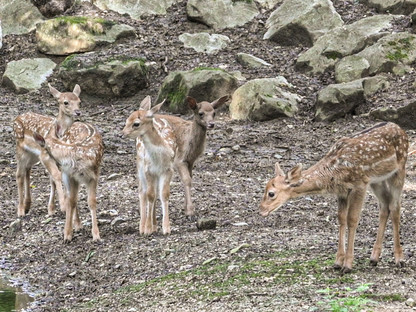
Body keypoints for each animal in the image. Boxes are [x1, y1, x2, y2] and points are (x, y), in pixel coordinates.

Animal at [13, 83, 81, 217]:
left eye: (79, 101)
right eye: (65, 102)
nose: (78, 112)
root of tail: (16, 118)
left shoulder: (58, 158)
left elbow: (53, 179)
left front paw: (52, 208)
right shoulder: (45, 155)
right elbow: (56, 176)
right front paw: (63, 206)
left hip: (33, 155)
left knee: (27, 170)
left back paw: (27, 205)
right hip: (21, 148)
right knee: (19, 175)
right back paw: (21, 210)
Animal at [122, 96, 176, 235]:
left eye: (136, 123)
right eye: (126, 120)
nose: (122, 133)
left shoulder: (168, 170)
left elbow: (164, 194)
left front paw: (166, 228)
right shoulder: (148, 170)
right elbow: (149, 195)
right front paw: (147, 229)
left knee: (155, 192)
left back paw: (155, 225)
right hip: (140, 166)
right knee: (142, 192)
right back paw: (142, 227)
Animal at [260, 122, 410, 272]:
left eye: (271, 193)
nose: (262, 210)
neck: (334, 172)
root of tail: (400, 129)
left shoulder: (360, 184)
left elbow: (352, 219)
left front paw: (348, 265)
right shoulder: (342, 191)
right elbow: (341, 219)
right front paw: (338, 262)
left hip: (399, 169)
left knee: (395, 207)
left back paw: (399, 259)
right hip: (377, 180)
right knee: (384, 206)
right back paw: (374, 258)